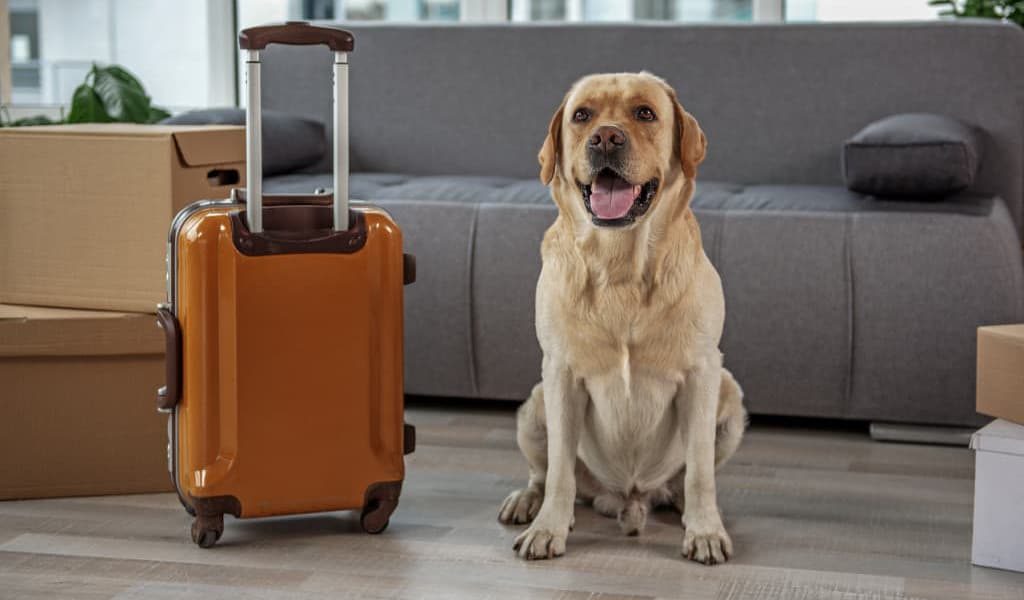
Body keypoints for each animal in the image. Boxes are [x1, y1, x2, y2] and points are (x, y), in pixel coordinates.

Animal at [495, 72, 745, 561]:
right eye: (581, 115)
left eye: (645, 113)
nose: (606, 138)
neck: (620, 266)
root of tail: (629, 496)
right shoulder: (560, 374)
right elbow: (560, 471)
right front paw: (548, 529)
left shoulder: (703, 372)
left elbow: (700, 470)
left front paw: (705, 530)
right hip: (535, 405)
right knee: (546, 473)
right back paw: (527, 502)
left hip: (730, 396)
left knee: (687, 479)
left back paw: (689, 507)